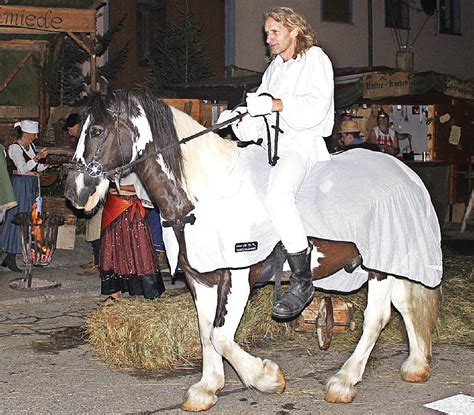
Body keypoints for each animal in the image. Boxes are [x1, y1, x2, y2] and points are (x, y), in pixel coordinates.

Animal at [65, 82, 442, 412]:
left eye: (96, 131)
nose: (74, 192)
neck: (208, 193)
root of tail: (406, 174)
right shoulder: (200, 278)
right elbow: (206, 332)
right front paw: (207, 389)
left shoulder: (237, 277)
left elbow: (221, 336)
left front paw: (266, 377)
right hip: (389, 260)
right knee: (405, 304)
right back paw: (416, 365)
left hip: (380, 264)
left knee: (377, 316)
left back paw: (344, 381)